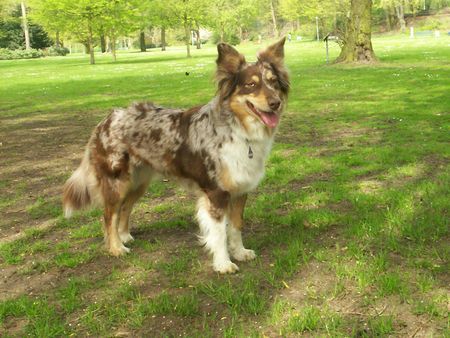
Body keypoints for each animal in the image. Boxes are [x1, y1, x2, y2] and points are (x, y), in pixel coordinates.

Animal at [62, 38, 288, 274]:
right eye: (251, 85)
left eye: (273, 82)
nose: (276, 103)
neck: (238, 130)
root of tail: (107, 118)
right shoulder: (215, 193)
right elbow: (219, 233)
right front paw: (223, 263)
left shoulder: (240, 189)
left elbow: (236, 226)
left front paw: (240, 252)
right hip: (117, 182)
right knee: (109, 215)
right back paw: (116, 247)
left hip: (138, 183)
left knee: (125, 208)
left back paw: (124, 236)